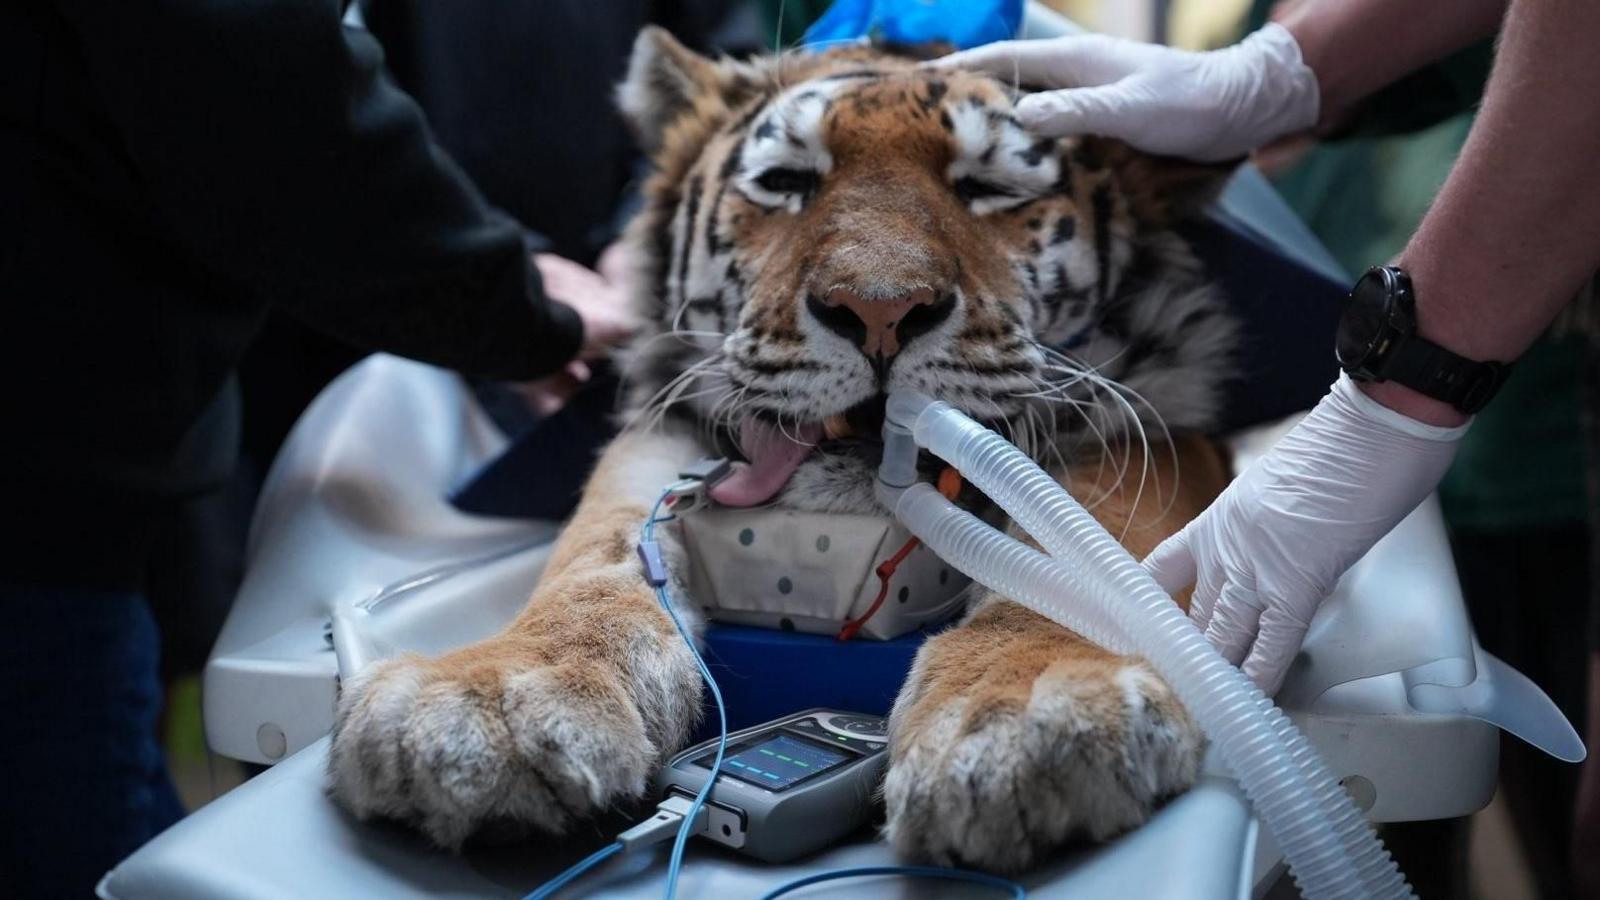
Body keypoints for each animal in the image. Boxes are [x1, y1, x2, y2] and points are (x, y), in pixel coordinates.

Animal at [326, 27, 1241, 873]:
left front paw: (1029, 711)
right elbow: (593, 555)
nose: (880, 310)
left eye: (989, 188)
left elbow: (1091, 548)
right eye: (786, 182)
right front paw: (490, 699)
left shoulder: (1155, 434)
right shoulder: (660, 435)